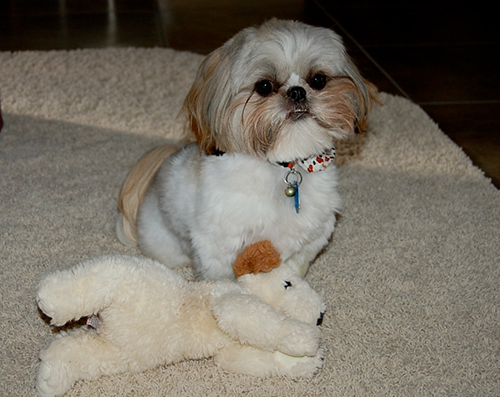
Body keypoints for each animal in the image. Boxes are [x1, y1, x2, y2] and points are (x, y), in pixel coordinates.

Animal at [116, 18, 376, 278]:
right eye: (264, 86)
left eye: (318, 80)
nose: (297, 92)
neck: (282, 166)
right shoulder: (218, 246)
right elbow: (222, 279)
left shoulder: (311, 237)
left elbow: (294, 264)